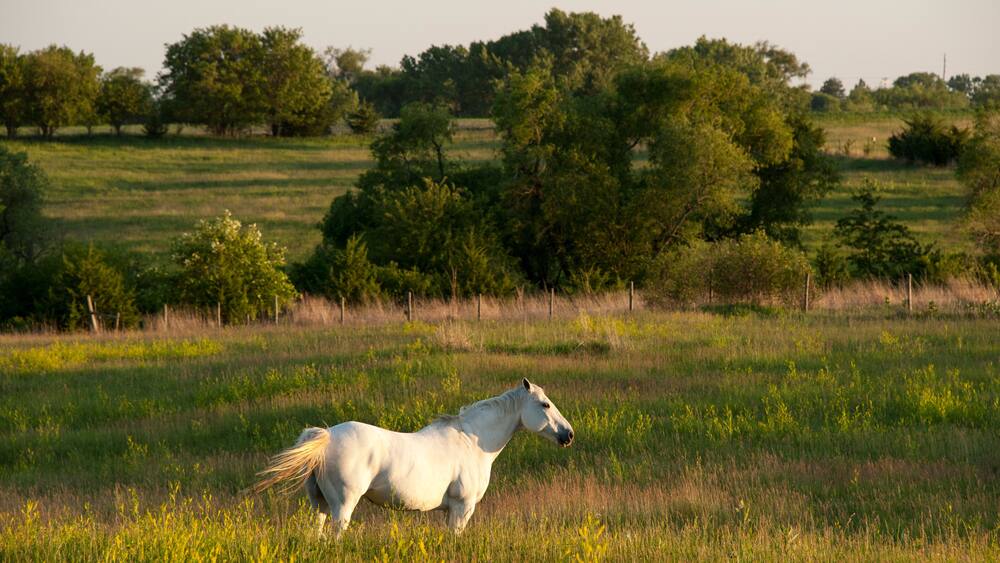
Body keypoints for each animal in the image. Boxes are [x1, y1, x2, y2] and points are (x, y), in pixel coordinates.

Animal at [254, 378, 575, 536]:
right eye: (545, 405)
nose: (568, 435)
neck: (472, 441)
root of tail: (326, 436)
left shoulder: (450, 511)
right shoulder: (463, 508)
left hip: (319, 504)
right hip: (342, 505)